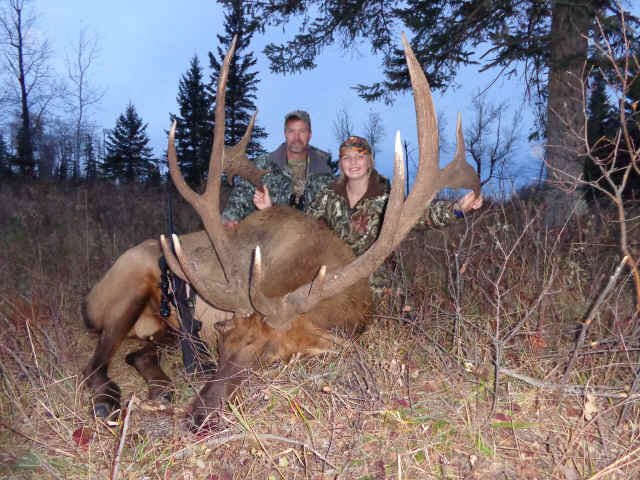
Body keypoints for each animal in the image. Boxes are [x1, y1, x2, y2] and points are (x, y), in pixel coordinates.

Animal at [81, 34, 480, 428]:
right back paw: (108, 401)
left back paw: (159, 390)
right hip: (129, 283)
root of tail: (89, 303)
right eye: (223, 344)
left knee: (136, 355)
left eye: (269, 356)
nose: (199, 417)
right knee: (94, 364)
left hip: (162, 326)